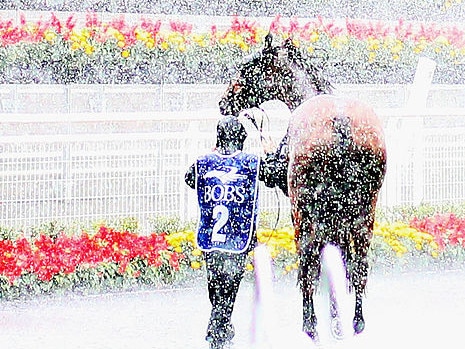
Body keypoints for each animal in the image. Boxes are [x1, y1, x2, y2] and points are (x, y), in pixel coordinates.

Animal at [219, 33, 386, 340]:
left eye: (246, 68)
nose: (224, 102)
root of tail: (340, 122)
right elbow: (339, 259)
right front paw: (337, 317)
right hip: (364, 211)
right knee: (358, 266)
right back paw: (355, 322)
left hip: (304, 211)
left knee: (308, 264)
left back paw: (310, 324)